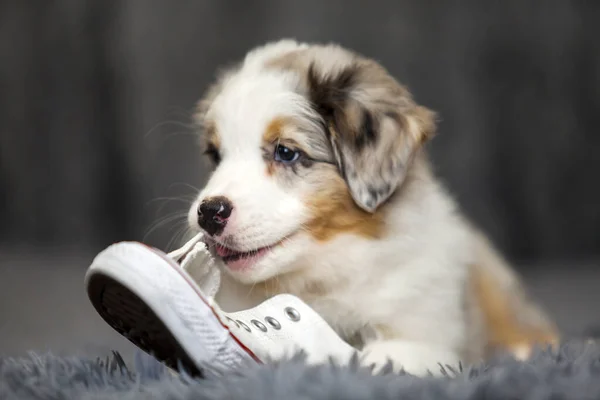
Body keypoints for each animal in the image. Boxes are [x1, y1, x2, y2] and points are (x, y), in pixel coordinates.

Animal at [186, 40, 556, 376]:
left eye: (286, 152)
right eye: (215, 155)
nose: (208, 213)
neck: (321, 276)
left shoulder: (431, 335)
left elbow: (397, 353)